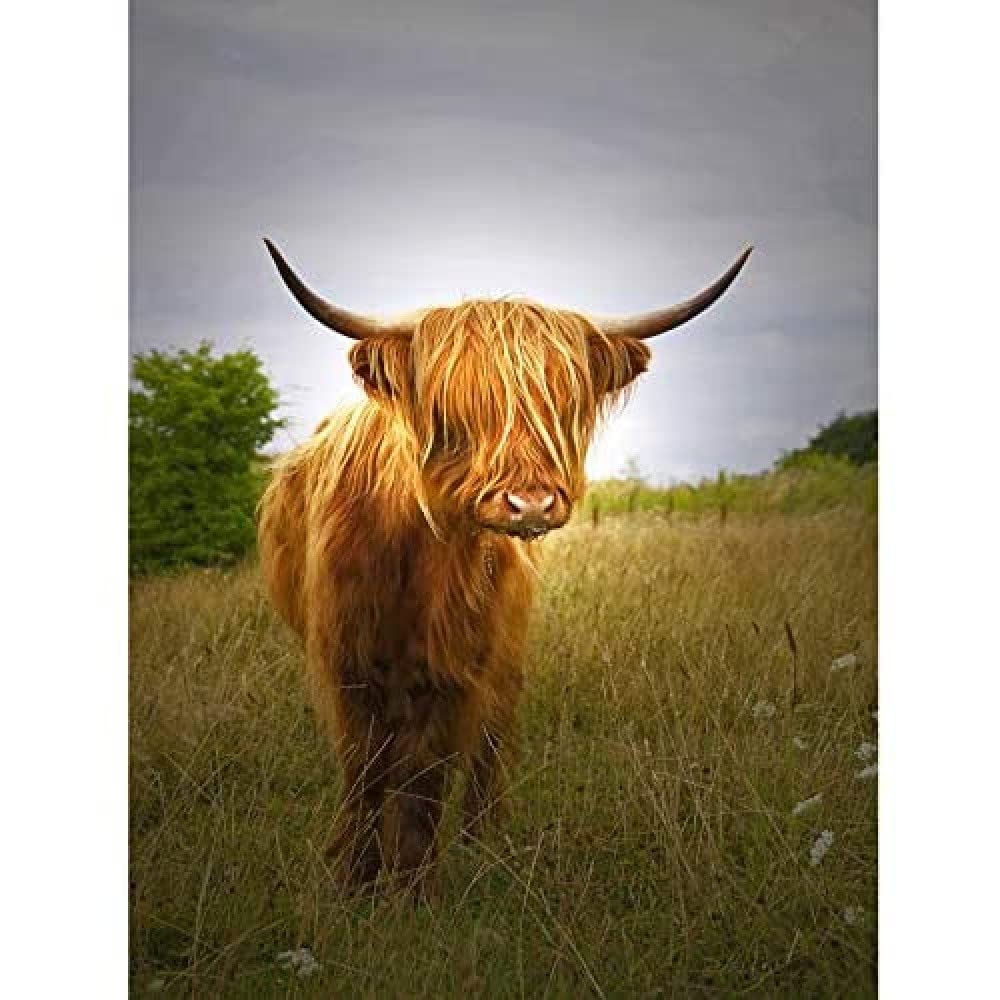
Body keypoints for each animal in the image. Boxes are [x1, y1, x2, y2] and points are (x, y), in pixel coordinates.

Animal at [257, 239, 752, 896]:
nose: (531, 503)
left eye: (563, 404)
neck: (412, 562)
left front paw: (413, 889)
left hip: (505, 652)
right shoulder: (346, 661)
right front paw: (357, 881)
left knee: (489, 740)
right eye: (454, 407)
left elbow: (424, 777)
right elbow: (365, 769)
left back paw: (482, 841)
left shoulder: (455, 666)